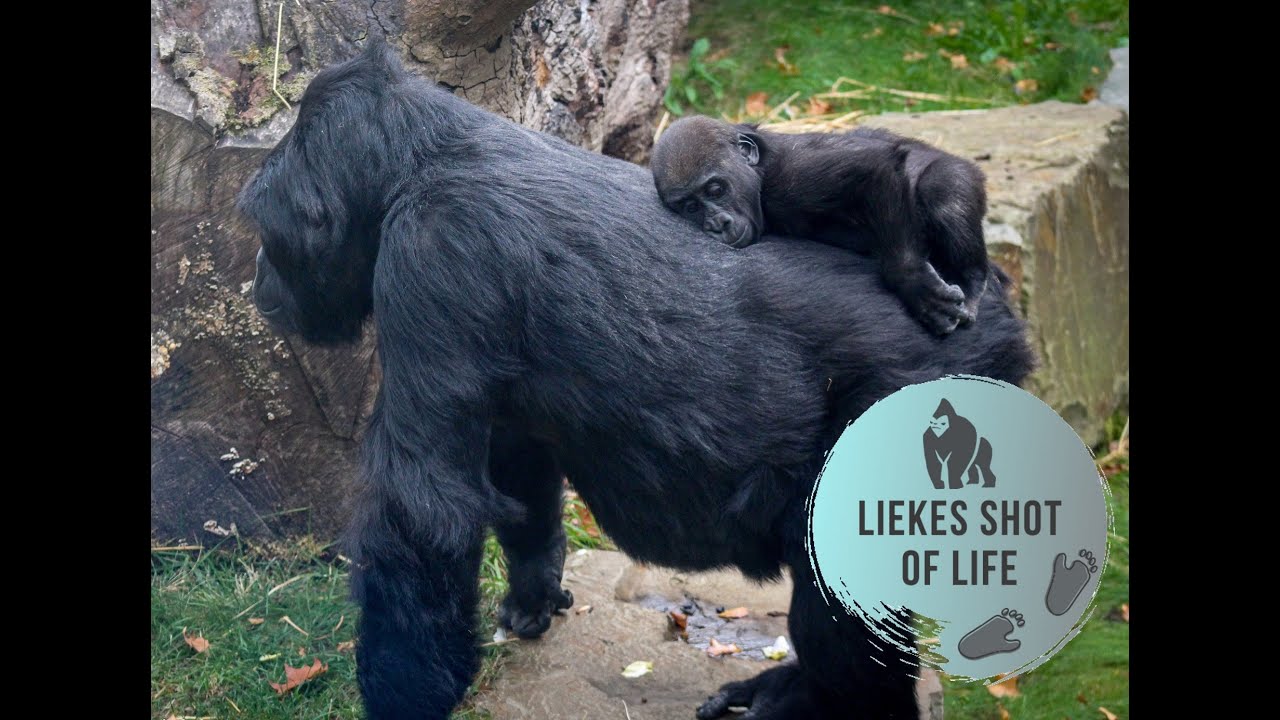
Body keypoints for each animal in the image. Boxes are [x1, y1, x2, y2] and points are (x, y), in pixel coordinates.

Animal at [650, 115, 992, 335]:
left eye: (715, 190)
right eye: (691, 207)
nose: (717, 224)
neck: (760, 177)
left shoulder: (794, 175)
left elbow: (874, 168)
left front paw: (912, 280)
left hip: (960, 171)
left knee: (942, 189)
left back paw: (972, 279)